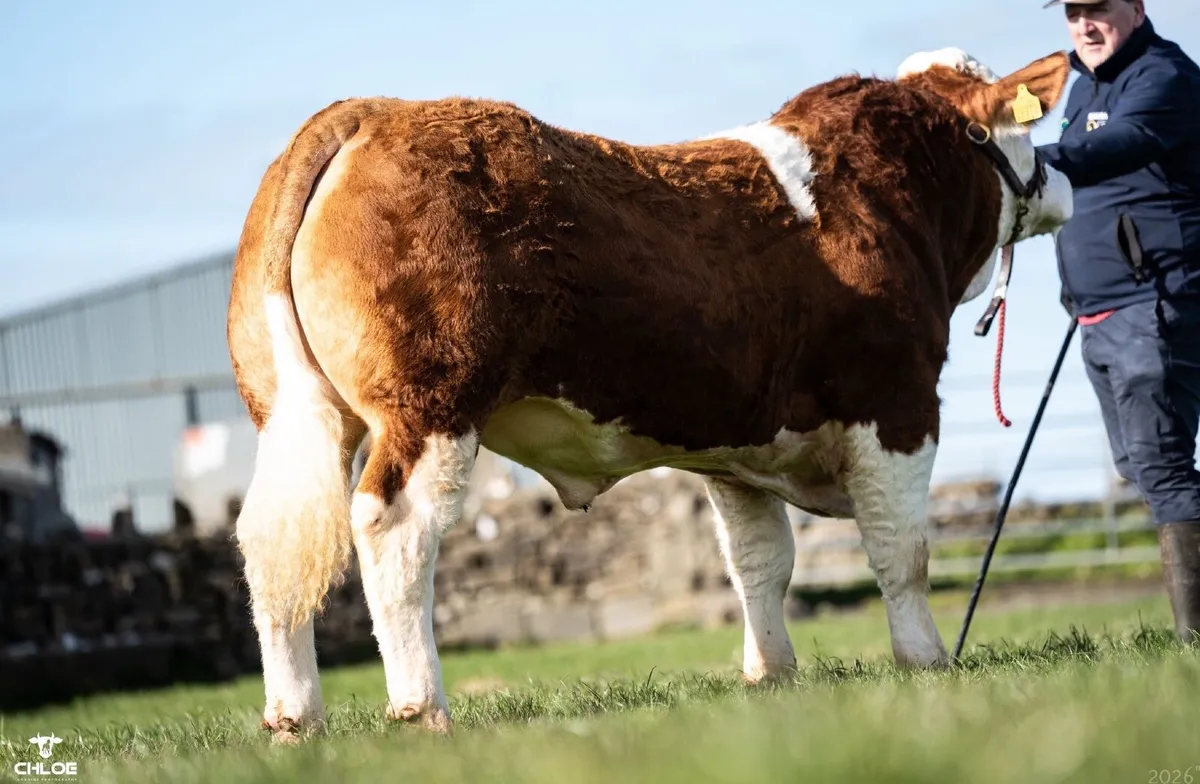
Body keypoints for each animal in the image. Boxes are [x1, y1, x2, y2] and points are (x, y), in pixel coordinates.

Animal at [227, 45, 1073, 742]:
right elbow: (903, 550)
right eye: (1026, 131)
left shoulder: (739, 445)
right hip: (429, 406)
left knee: (269, 542)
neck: (879, 204)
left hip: (294, 414)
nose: (1065, 176)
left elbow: (760, 562)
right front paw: (926, 661)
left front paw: (772, 675)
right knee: (393, 529)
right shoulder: (897, 405)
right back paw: (421, 707)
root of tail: (369, 111)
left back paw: (294, 718)